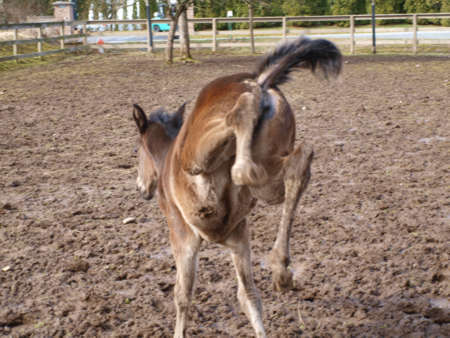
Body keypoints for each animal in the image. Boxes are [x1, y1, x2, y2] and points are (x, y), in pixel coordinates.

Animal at [132, 37, 342, 338]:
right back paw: (281, 270)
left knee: (242, 131)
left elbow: (182, 294)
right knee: (299, 162)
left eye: (137, 150)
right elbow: (248, 296)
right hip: (270, 168)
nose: (141, 187)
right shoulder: (238, 237)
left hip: (200, 155)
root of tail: (259, 81)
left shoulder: (182, 236)